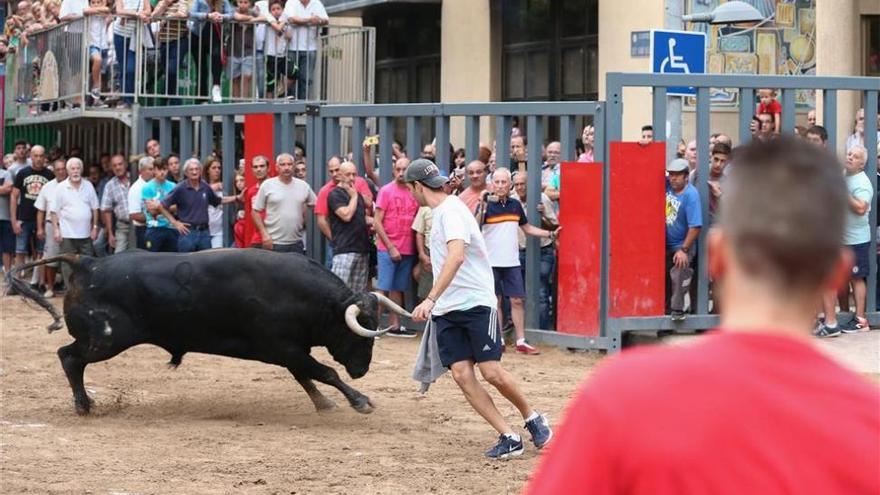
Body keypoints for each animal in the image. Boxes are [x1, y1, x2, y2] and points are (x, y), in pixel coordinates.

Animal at [5, 250, 410, 416]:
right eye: (360, 332)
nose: (363, 369)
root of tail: (87, 262)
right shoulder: (285, 347)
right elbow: (325, 371)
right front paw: (360, 401)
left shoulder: (288, 350)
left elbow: (307, 376)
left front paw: (324, 403)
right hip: (105, 339)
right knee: (69, 358)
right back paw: (83, 405)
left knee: (69, 357)